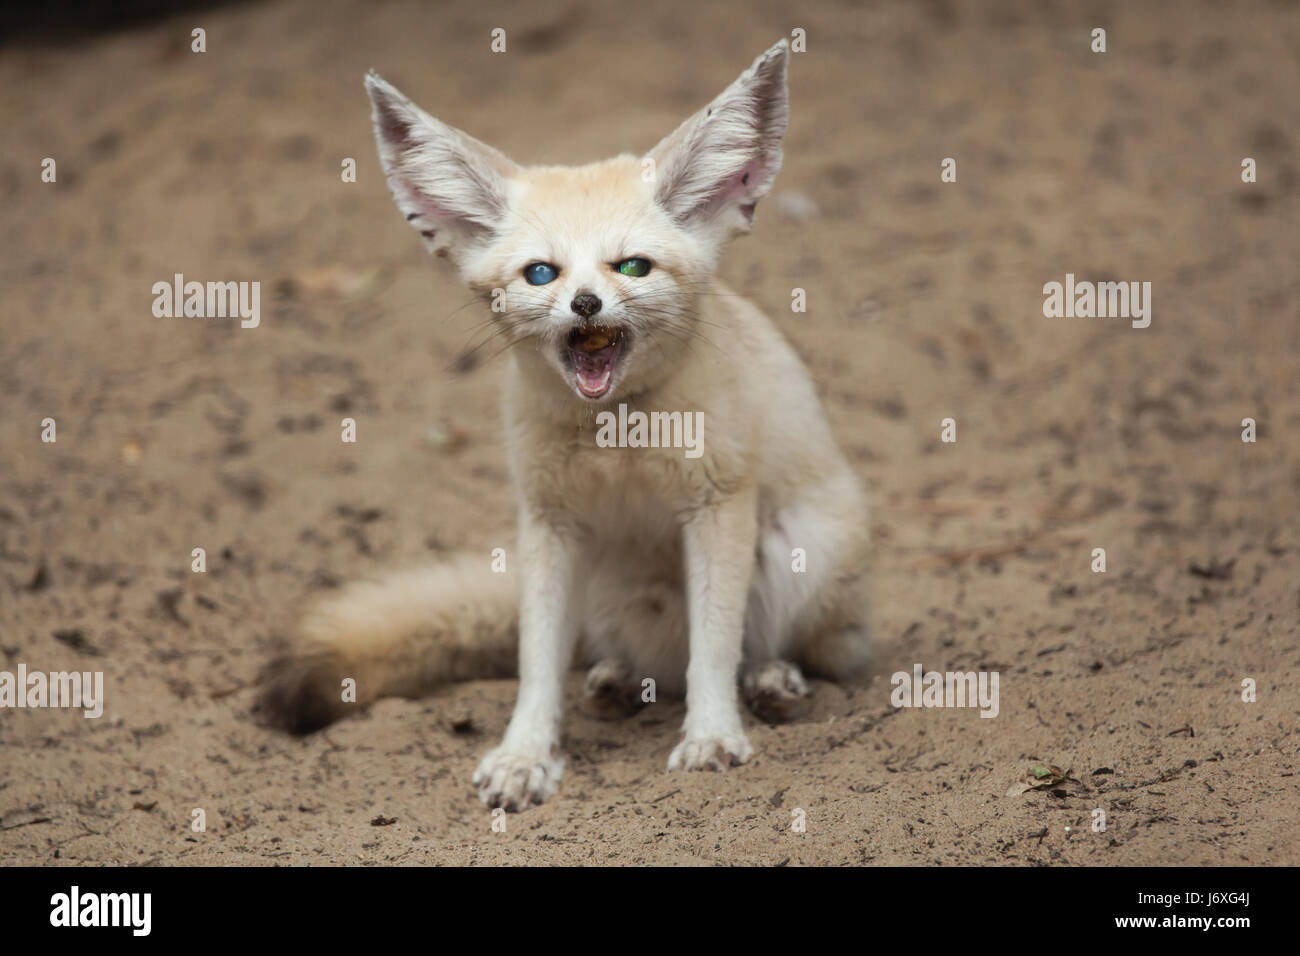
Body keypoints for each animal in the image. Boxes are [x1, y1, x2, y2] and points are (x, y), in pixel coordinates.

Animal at [257, 41, 873, 811]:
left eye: (631, 266)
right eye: (541, 274)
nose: (584, 304)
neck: (617, 437)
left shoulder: (718, 505)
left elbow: (715, 645)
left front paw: (711, 737)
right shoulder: (549, 521)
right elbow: (538, 661)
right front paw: (526, 755)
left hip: (804, 548)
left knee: (777, 650)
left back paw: (771, 683)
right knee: (622, 660)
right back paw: (615, 685)